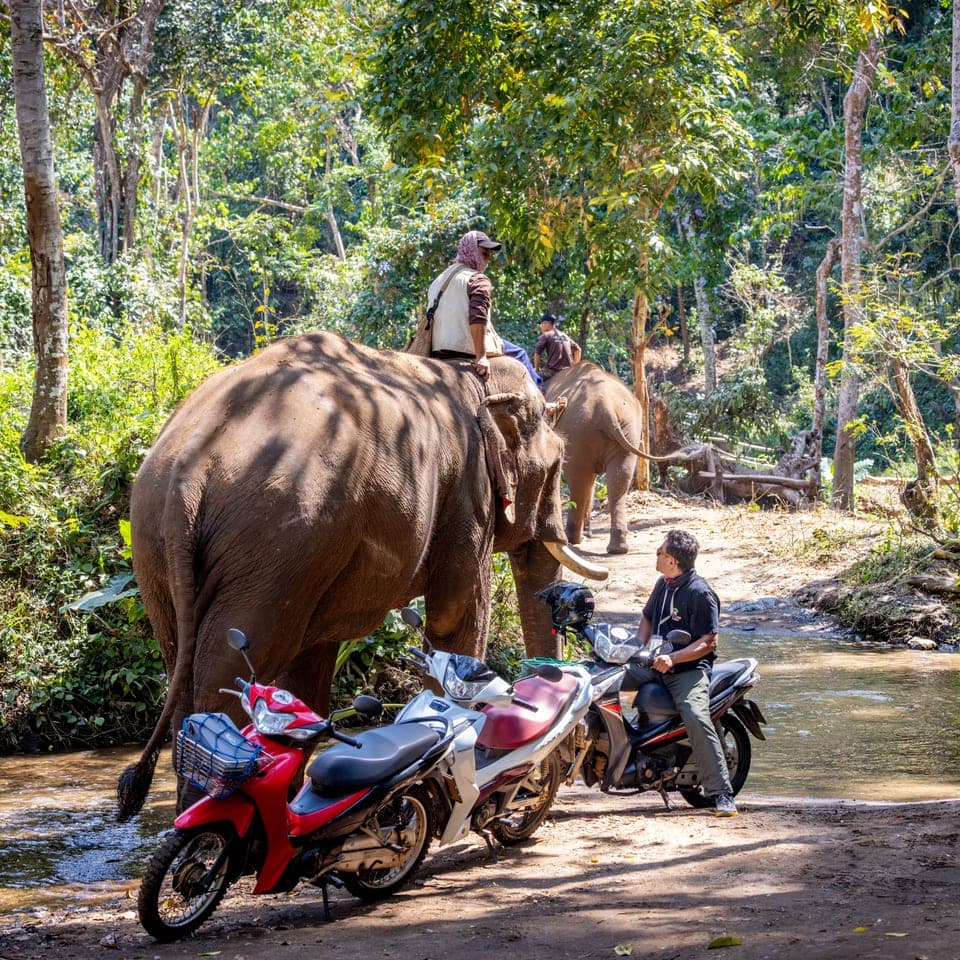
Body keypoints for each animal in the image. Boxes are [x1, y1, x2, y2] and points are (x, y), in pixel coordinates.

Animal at [117, 331, 607, 821]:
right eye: (556, 465)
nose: (547, 778)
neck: (473, 377)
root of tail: (189, 473)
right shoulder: (468, 497)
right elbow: (456, 615)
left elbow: (312, 664)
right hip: (273, 542)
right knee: (226, 676)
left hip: (162, 546)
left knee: (183, 667)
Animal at [544, 361, 645, 555]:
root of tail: (607, 408)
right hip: (629, 430)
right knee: (619, 480)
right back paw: (618, 548)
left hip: (578, 432)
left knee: (579, 481)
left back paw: (573, 540)